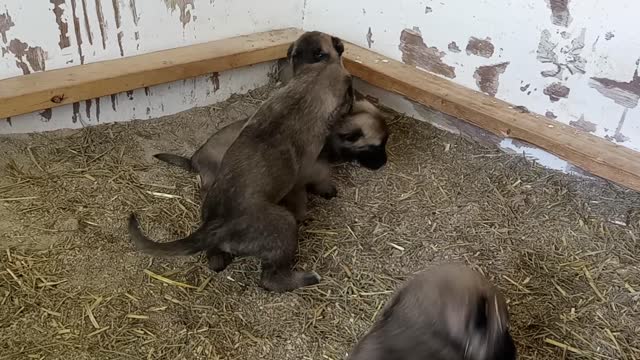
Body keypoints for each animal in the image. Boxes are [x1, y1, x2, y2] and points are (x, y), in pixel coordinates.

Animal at [127, 31, 352, 292]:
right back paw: (306, 278)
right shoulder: (304, 174)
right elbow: (312, 186)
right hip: (283, 225)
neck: (309, 83)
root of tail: (214, 226)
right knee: (270, 279)